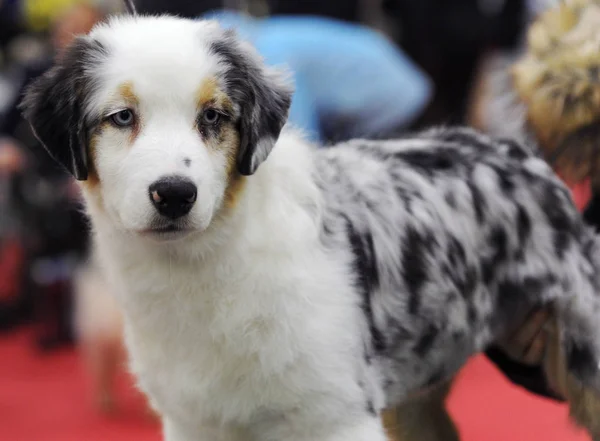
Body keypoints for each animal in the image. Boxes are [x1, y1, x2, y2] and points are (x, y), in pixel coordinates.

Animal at [18, 13, 600, 440]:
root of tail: (521, 152)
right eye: (121, 117)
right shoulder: (194, 420)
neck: (207, 269)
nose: (174, 194)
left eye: (213, 116)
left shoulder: (338, 415)